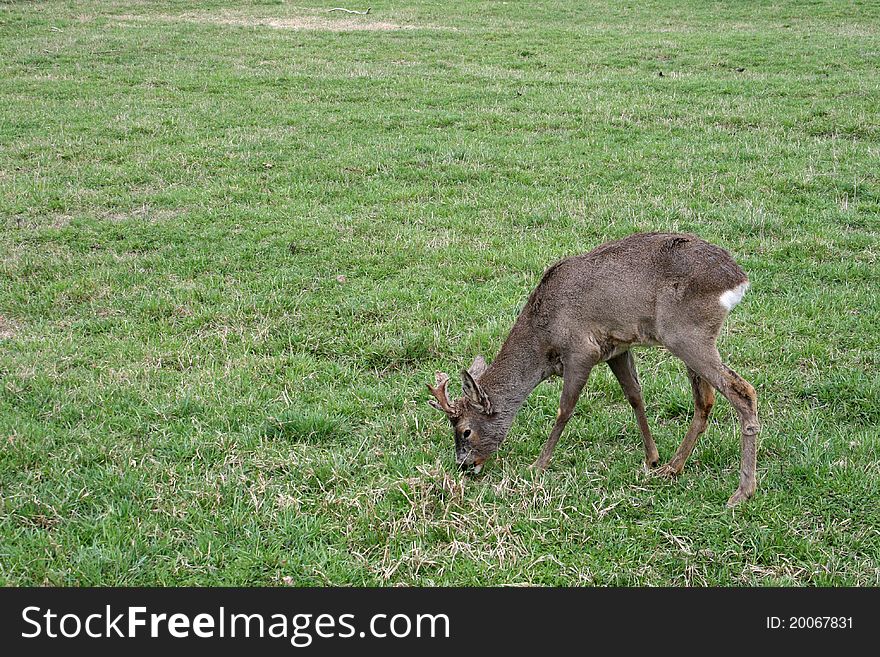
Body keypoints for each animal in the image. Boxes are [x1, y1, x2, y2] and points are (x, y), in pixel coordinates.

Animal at [426, 232, 756, 508]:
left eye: (465, 430)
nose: (464, 465)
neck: (544, 338)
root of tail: (738, 279)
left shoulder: (581, 351)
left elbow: (565, 409)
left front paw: (537, 465)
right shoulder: (616, 348)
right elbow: (635, 396)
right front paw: (651, 457)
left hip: (686, 333)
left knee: (743, 391)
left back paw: (742, 492)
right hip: (689, 338)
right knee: (705, 401)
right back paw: (672, 468)